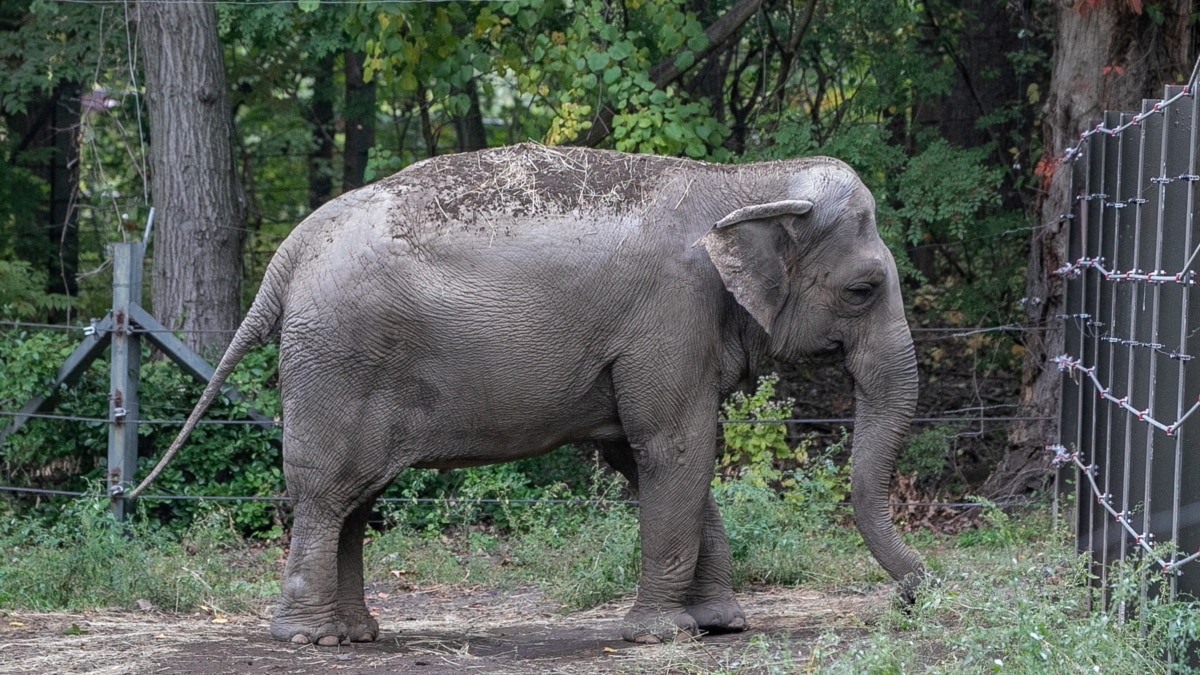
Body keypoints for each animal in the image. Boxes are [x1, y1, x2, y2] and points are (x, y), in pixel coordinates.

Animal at [142, 140, 926, 638]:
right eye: (863, 289)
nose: (914, 596)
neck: (746, 183)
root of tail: (292, 248)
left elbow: (652, 455)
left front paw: (720, 625)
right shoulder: (669, 315)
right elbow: (675, 446)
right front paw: (663, 634)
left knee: (355, 501)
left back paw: (358, 635)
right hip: (338, 359)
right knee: (325, 492)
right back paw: (307, 640)